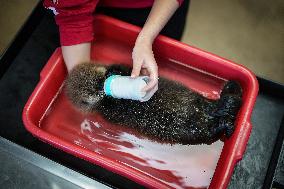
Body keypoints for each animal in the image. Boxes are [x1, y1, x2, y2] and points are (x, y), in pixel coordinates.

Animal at [65, 63, 243, 145]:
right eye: (93, 92)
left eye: (100, 81)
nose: (104, 87)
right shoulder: (107, 112)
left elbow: (124, 69)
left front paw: (113, 72)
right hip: (196, 131)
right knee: (214, 128)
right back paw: (228, 124)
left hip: (201, 105)